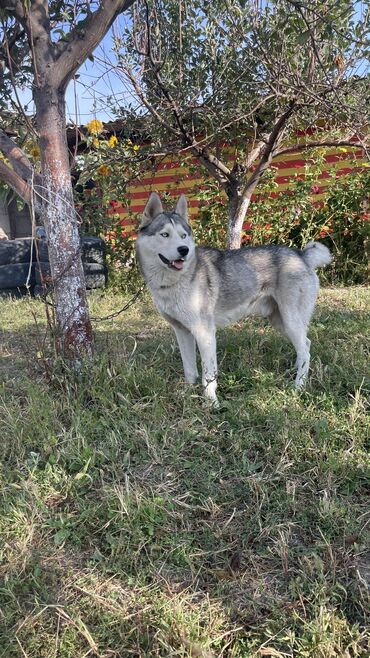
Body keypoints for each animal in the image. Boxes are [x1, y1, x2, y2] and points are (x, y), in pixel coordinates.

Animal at [136, 191, 332, 404]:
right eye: (164, 234)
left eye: (183, 236)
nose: (184, 250)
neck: (174, 282)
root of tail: (301, 255)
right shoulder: (182, 331)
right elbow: (190, 370)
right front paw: (187, 393)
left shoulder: (205, 333)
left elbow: (208, 375)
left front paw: (211, 402)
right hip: (281, 321)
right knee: (305, 345)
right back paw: (294, 371)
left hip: (290, 321)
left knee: (305, 349)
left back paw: (299, 385)